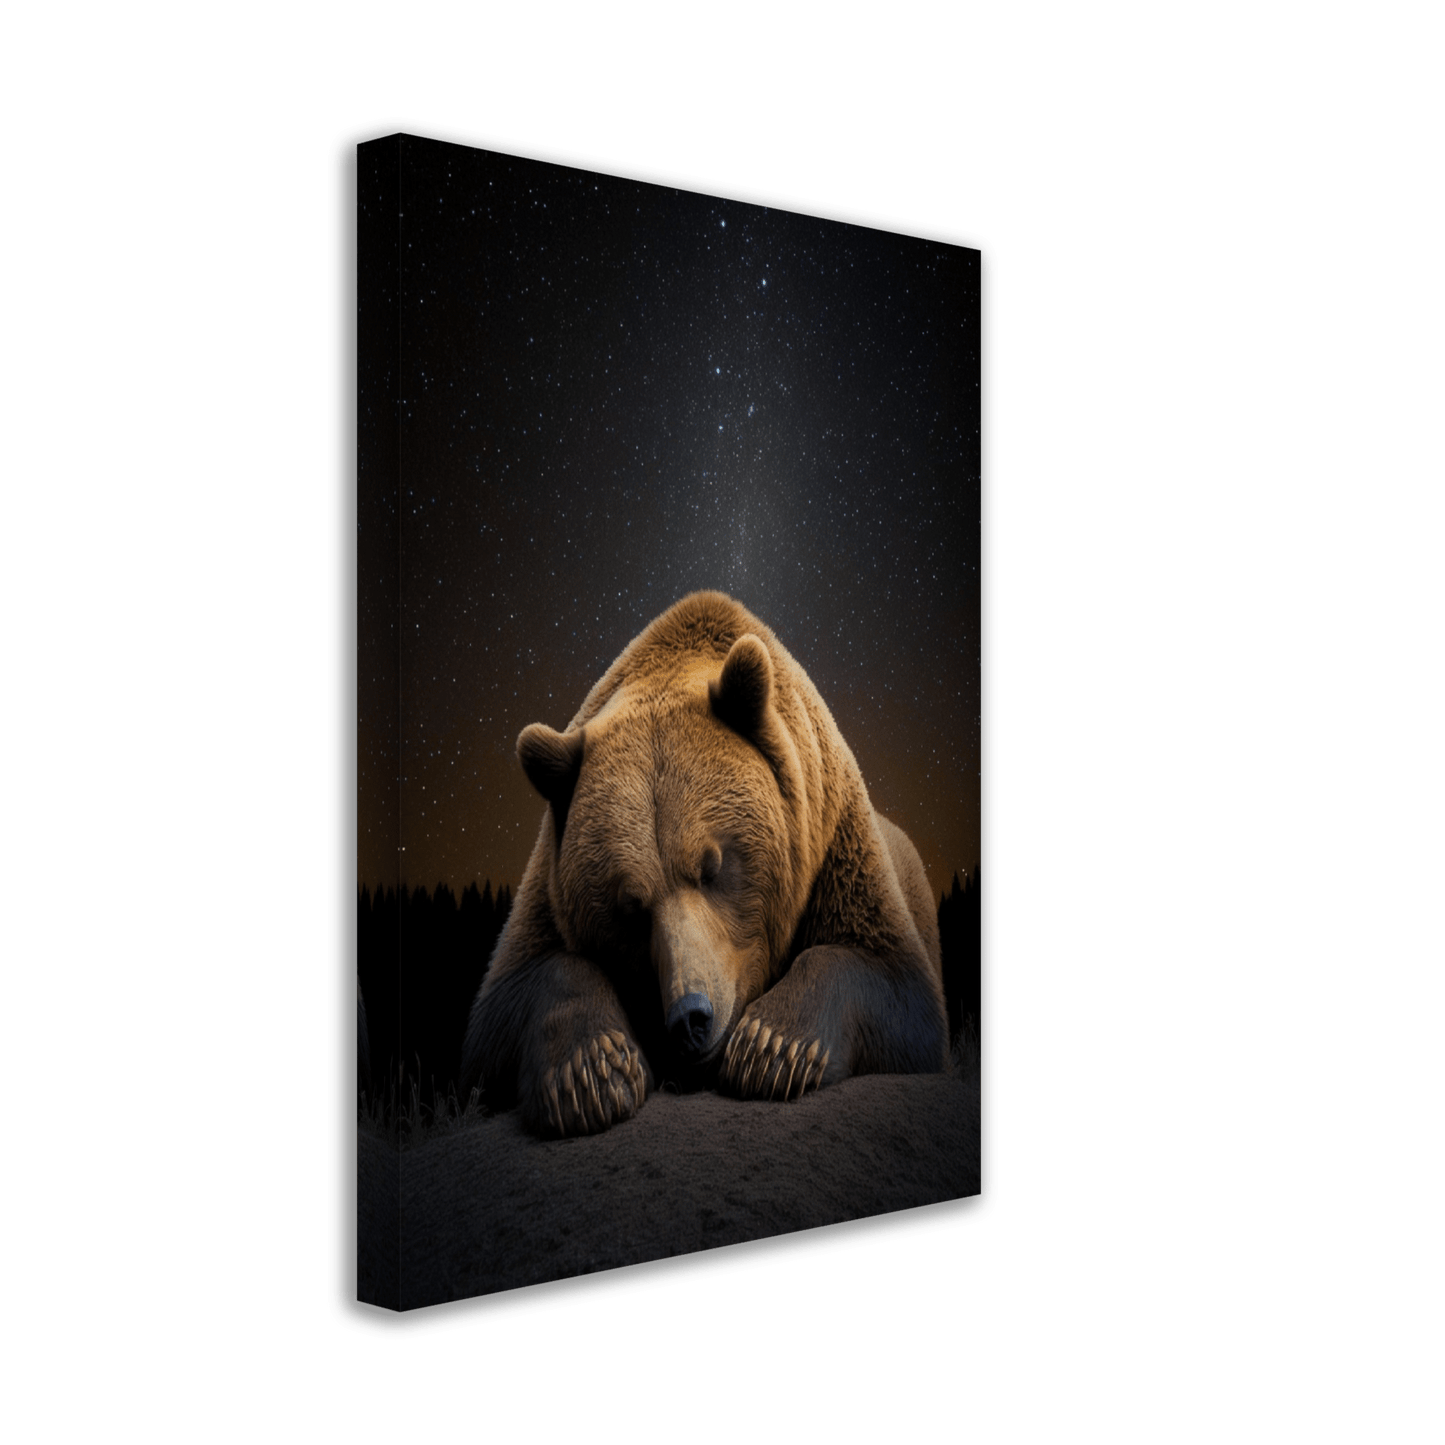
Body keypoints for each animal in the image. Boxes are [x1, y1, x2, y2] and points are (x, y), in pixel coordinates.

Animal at [459, 591, 947, 1137]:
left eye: (712, 868)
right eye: (630, 906)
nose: (691, 1017)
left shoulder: (834, 841)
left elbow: (894, 981)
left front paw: (771, 1047)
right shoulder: (549, 888)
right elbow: (503, 1007)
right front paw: (592, 1072)